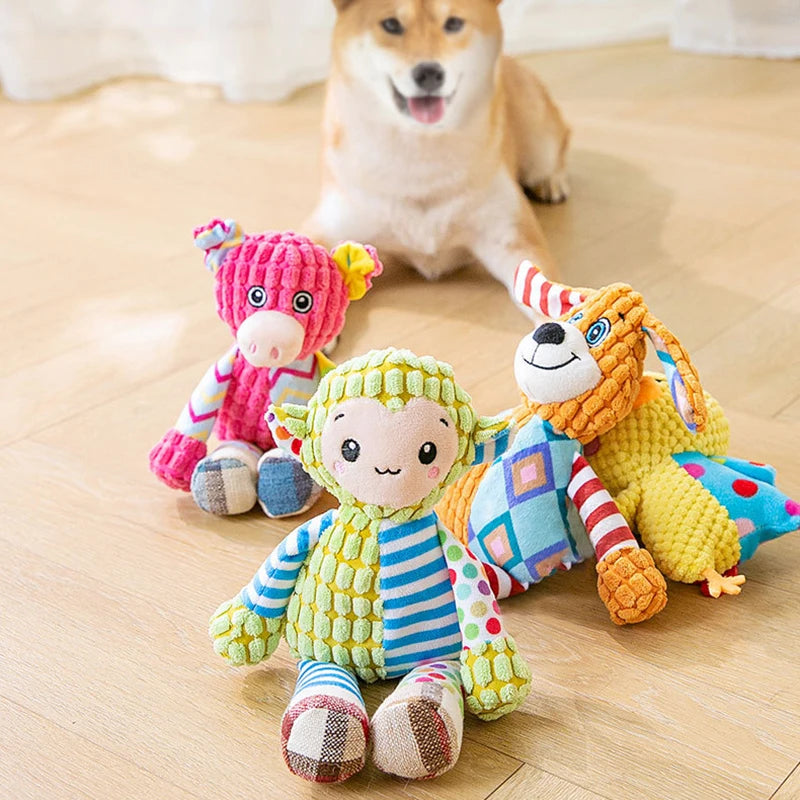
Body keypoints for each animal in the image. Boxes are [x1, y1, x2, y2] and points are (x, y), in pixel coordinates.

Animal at [304, 0, 572, 300]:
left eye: (453, 23)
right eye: (391, 25)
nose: (429, 73)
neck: (420, 155)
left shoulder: (512, 238)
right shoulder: (328, 229)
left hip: (539, 138)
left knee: (559, 144)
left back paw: (551, 182)